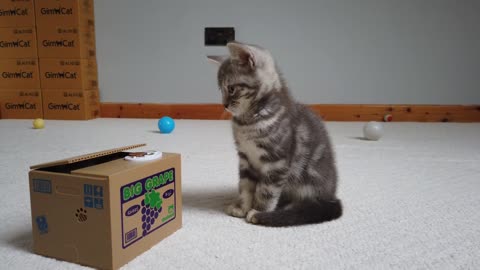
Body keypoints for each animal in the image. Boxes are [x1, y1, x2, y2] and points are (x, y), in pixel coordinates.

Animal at [209, 42, 342, 227]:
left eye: (231, 88)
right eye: (220, 89)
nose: (224, 105)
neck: (248, 122)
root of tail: (331, 196)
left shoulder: (276, 161)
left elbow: (267, 191)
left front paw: (259, 211)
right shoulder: (245, 158)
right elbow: (245, 186)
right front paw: (243, 207)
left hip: (306, 184)